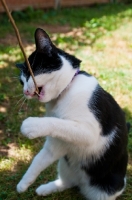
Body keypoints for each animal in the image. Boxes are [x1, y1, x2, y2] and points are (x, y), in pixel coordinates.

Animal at [16, 28, 128, 200]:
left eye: (31, 72)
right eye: (21, 82)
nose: (25, 92)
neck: (65, 91)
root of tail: (83, 185)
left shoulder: (90, 132)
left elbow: (60, 122)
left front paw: (31, 125)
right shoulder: (57, 144)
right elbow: (38, 160)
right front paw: (23, 184)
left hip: (107, 189)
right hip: (65, 164)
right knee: (66, 182)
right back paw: (46, 189)